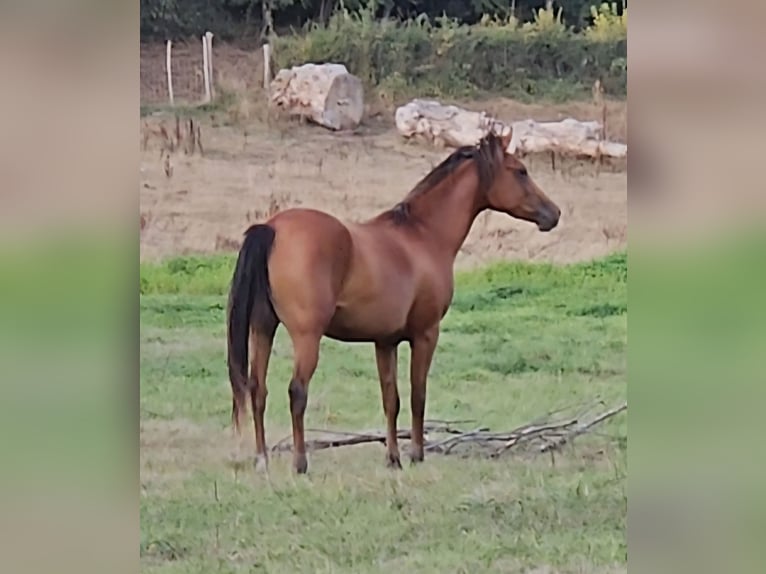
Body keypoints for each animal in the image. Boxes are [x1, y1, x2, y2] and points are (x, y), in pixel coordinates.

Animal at [226, 130, 561, 474]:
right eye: (520, 171)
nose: (553, 214)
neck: (422, 235)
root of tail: (273, 228)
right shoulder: (425, 334)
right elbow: (417, 395)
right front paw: (416, 454)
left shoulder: (384, 342)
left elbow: (391, 399)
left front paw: (393, 458)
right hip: (306, 337)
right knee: (297, 391)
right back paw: (300, 463)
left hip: (263, 329)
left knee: (257, 389)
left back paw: (262, 460)